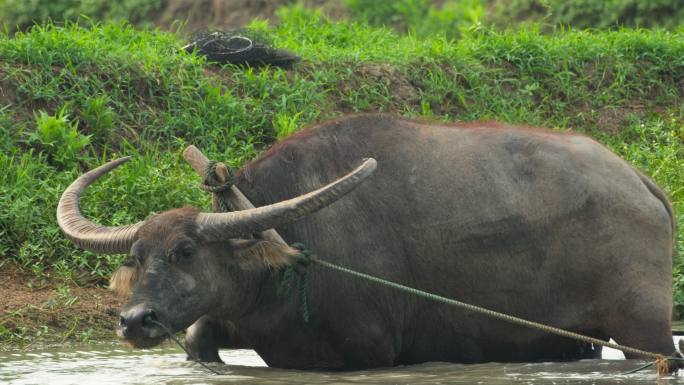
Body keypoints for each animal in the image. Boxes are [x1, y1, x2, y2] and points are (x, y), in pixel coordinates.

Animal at [58, 115, 680, 368]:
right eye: (136, 257)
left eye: (185, 252)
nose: (134, 321)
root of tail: (641, 182)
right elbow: (197, 339)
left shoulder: (370, 353)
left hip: (643, 327)